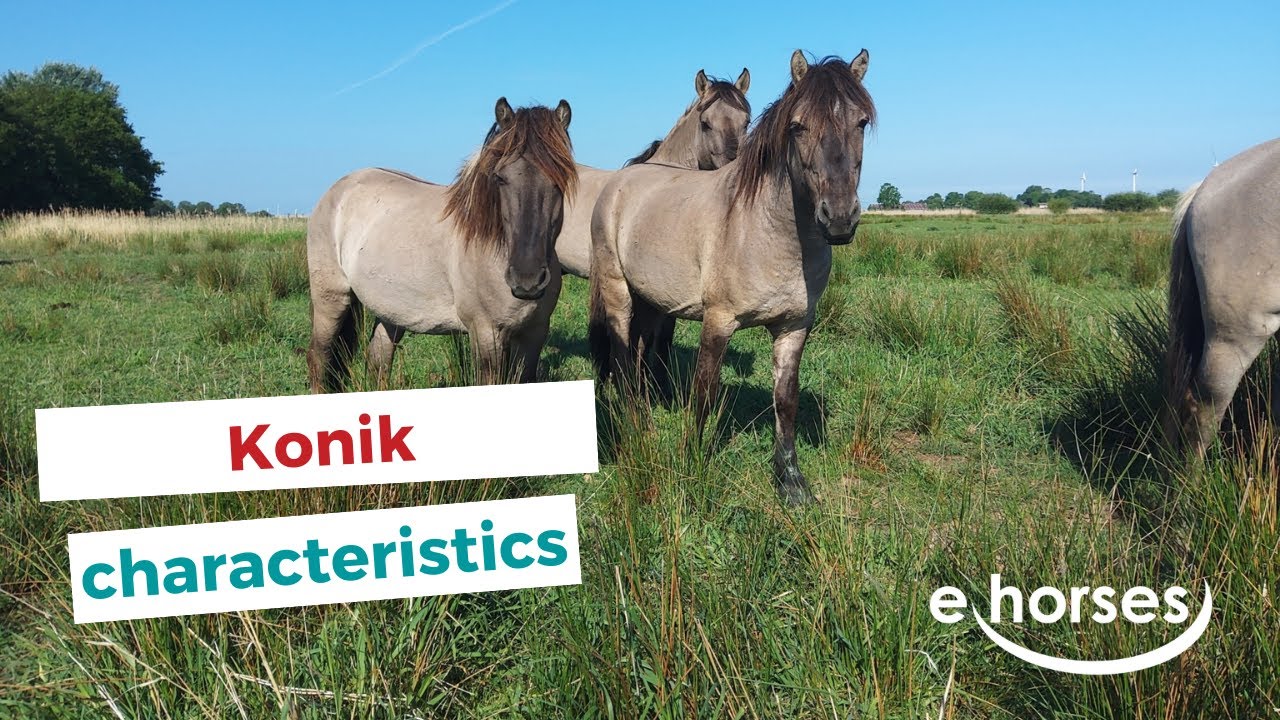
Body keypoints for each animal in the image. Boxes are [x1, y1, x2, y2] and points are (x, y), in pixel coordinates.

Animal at [306, 98, 576, 391]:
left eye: (561, 179)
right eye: (500, 178)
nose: (527, 280)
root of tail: (339, 188)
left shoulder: (535, 333)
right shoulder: (485, 333)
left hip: (390, 311)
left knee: (379, 359)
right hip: (331, 300)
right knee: (319, 357)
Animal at [589, 51, 874, 505]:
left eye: (861, 122)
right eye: (797, 126)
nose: (840, 218)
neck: (765, 229)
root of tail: (621, 180)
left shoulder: (795, 326)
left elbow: (786, 399)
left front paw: (792, 483)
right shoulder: (718, 321)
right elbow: (704, 393)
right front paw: (692, 463)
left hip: (650, 299)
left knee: (639, 352)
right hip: (618, 290)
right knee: (621, 354)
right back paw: (636, 424)